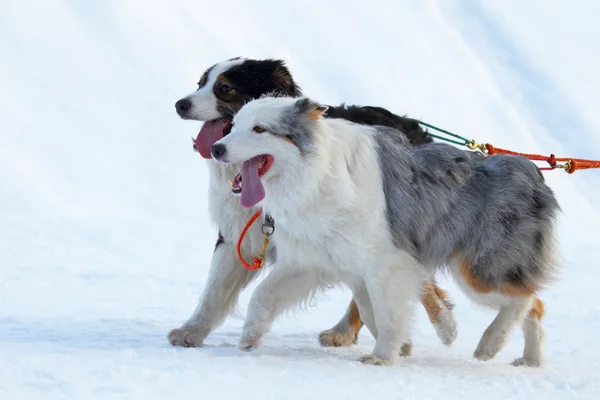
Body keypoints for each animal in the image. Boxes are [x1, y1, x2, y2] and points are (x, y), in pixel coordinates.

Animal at [171, 57, 458, 354]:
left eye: (225, 88)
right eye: (200, 83)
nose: (180, 104)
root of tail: (410, 124)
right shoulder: (239, 234)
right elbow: (214, 290)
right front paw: (192, 331)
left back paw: (438, 324)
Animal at [212, 95, 564, 368]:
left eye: (260, 129)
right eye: (234, 125)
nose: (216, 148)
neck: (317, 175)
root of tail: (529, 170)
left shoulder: (389, 263)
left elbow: (387, 314)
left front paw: (382, 357)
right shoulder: (316, 260)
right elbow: (264, 296)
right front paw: (250, 336)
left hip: (479, 270)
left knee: (523, 299)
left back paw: (490, 344)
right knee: (535, 305)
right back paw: (530, 360)